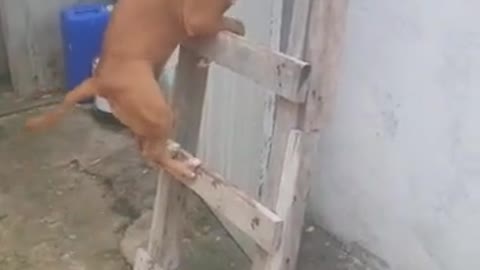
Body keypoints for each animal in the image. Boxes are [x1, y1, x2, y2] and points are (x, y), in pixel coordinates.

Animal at [24, 0, 246, 181]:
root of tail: (99, 80)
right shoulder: (198, 18)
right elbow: (228, 22)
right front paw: (238, 27)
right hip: (159, 110)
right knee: (152, 152)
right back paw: (183, 168)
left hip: (144, 116)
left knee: (146, 148)